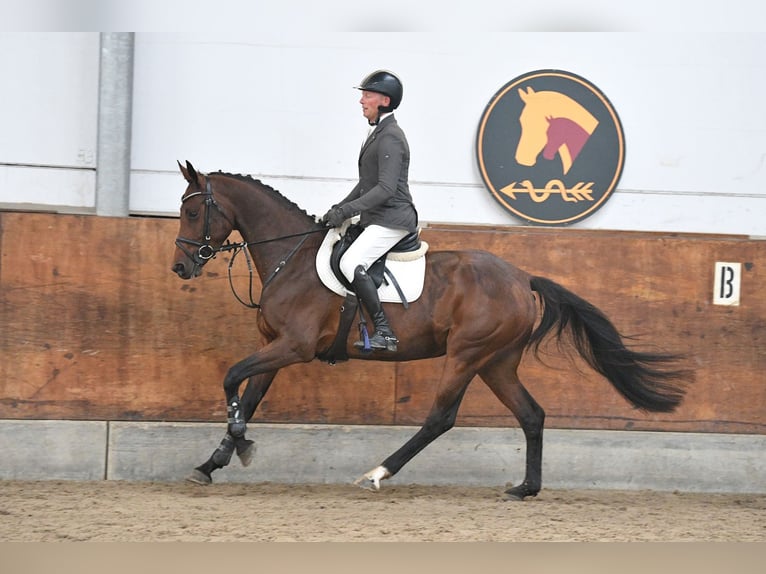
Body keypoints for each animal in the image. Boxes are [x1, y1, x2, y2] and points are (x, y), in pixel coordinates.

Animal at [171, 161, 692, 500]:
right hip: (497, 362)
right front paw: (212, 463)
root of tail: (522, 278)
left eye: (193, 212)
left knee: (440, 418)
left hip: (466, 354)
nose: (180, 268)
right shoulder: (273, 346)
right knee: (532, 415)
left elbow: (231, 379)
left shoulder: (292, 347)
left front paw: (239, 446)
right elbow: (247, 395)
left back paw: (378, 474)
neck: (291, 258)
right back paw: (525, 488)